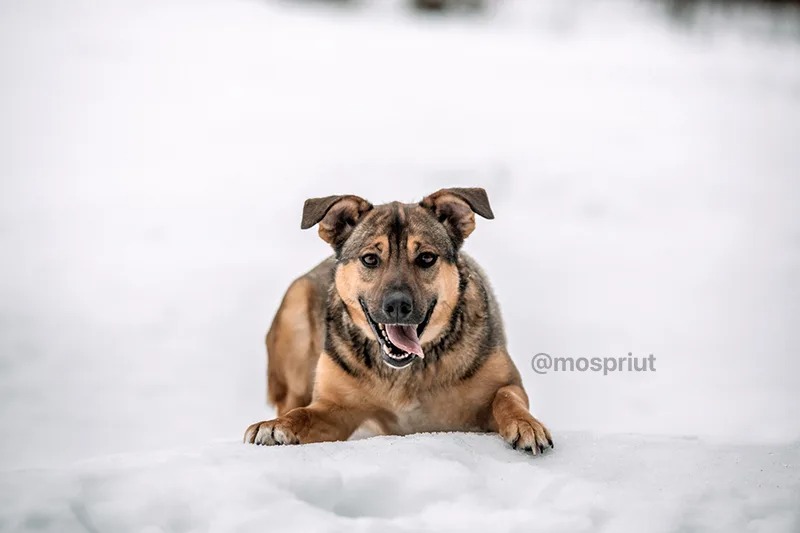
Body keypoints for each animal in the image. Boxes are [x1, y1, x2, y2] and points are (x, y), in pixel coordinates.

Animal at [244, 187, 552, 454]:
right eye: (370, 259)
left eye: (426, 257)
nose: (397, 306)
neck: (406, 373)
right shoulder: (334, 407)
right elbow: (304, 414)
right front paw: (276, 427)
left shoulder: (506, 383)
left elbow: (506, 397)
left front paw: (526, 425)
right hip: (296, 306)